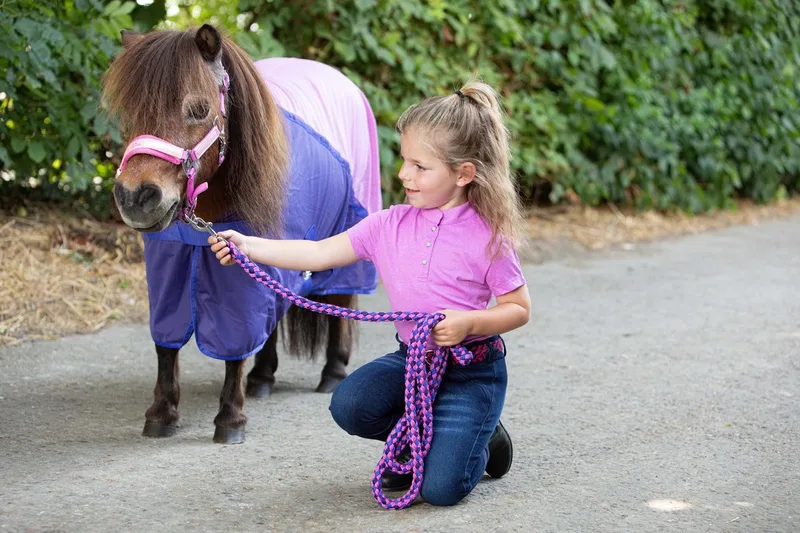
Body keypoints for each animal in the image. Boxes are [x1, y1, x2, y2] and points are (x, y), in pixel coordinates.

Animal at [101, 24, 380, 444]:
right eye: (132, 112)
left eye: (199, 109)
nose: (135, 197)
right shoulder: (171, 265)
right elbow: (166, 344)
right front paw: (161, 413)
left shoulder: (237, 275)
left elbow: (235, 343)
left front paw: (230, 418)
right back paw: (262, 378)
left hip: (346, 235)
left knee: (340, 300)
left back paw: (332, 372)